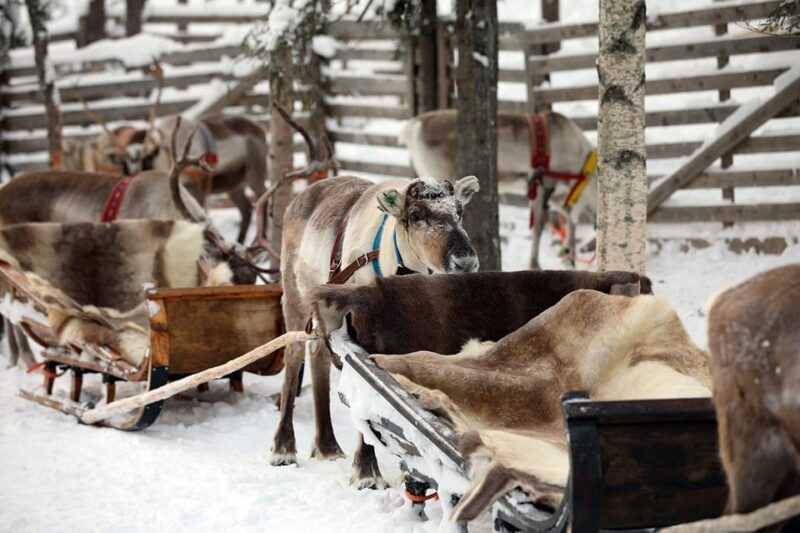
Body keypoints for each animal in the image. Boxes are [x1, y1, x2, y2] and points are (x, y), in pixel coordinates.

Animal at [399, 109, 598, 270]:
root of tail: (412, 126)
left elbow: (568, 219)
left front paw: (568, 256)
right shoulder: (544, 183)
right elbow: (541, 225)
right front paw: (536, 264)